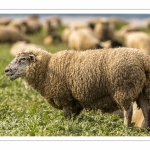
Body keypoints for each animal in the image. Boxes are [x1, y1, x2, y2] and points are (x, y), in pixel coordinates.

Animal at [4, 47, 150, 129]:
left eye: (22, 59)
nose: (6, 70)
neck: (46, 69)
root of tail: (143, 59)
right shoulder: (74, 102)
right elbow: (73, 117)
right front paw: (73, 125)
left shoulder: (64, 98)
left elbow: (66, 116)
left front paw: (65, 126)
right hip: (143, 90)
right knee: (146, 110)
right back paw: (145, 129)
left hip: (124, 89)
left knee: (128, 111)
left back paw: (126, 128)